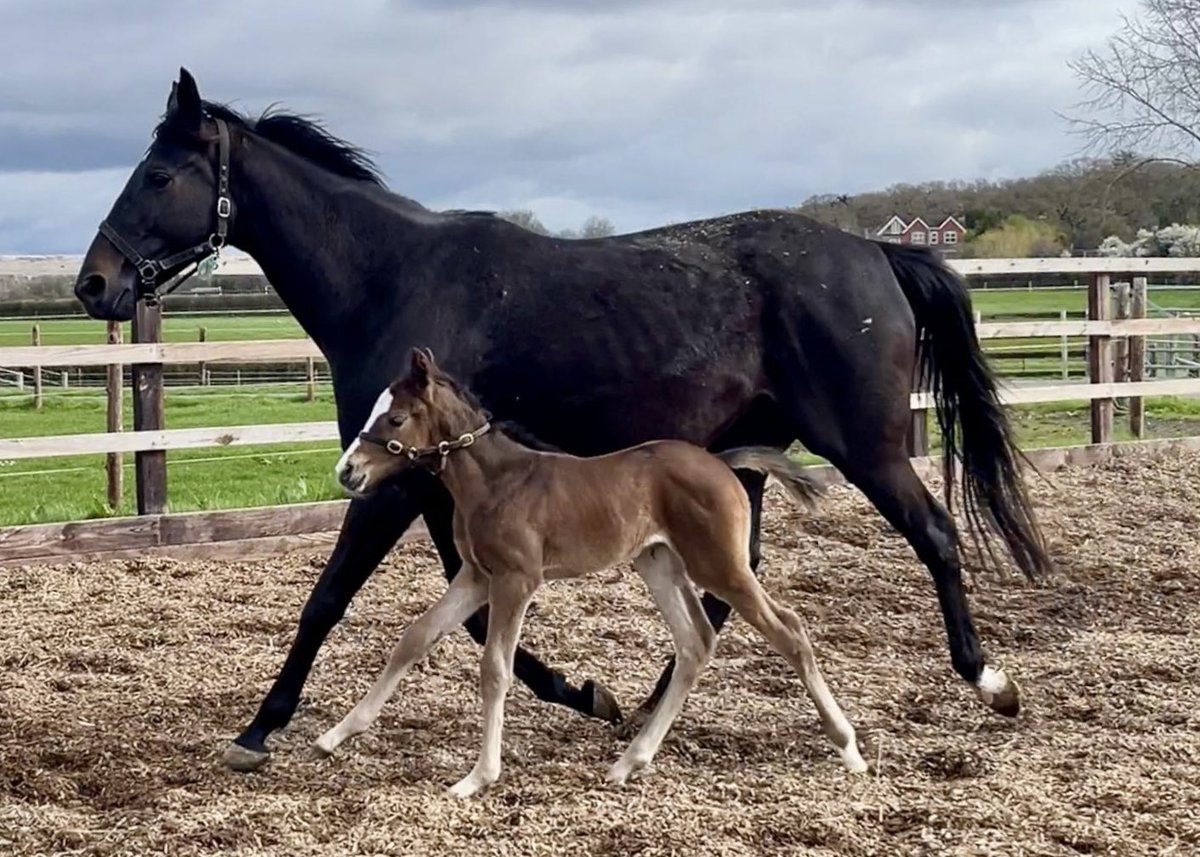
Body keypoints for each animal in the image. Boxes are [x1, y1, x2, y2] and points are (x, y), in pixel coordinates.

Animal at [314, 348, 868, 792]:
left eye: (396, 419)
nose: (347, 471)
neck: (497, 481)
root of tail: (722, 462)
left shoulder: (517, 579)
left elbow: (495, 668)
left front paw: (478, 777)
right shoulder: (476, 576)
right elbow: (415, 637)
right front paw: (334, 735)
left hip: (719, 566)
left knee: (789, 629)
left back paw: (848, 747)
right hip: (659, 562)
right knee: (696, 643)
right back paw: (629, 762)